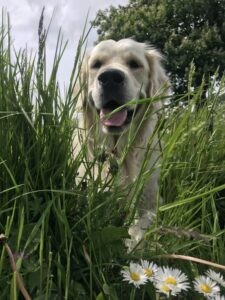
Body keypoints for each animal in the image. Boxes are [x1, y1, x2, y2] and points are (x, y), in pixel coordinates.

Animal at [74, 38, 170, 247]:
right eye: (96, 64)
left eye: (134, 64)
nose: (110, 77)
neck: (118, 151)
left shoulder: (151, 202)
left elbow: (141, 224)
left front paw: (136, 241)